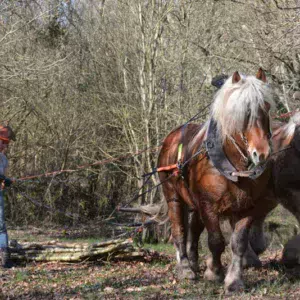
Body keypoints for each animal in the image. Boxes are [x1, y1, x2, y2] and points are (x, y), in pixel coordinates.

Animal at [158, 69, 276, 292]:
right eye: (242, 112)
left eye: (266, 107)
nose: (261, 154)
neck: (235, 167)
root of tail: (171, 138)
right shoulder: (209, 206)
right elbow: (216, 241)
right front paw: (214, 272)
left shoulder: (247, 207)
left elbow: (238, 242)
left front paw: (234, 281)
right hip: (173, 196)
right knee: (179, 230)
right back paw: (185, 267)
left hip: (194, 202)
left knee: (194, 230)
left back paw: (193, 262)